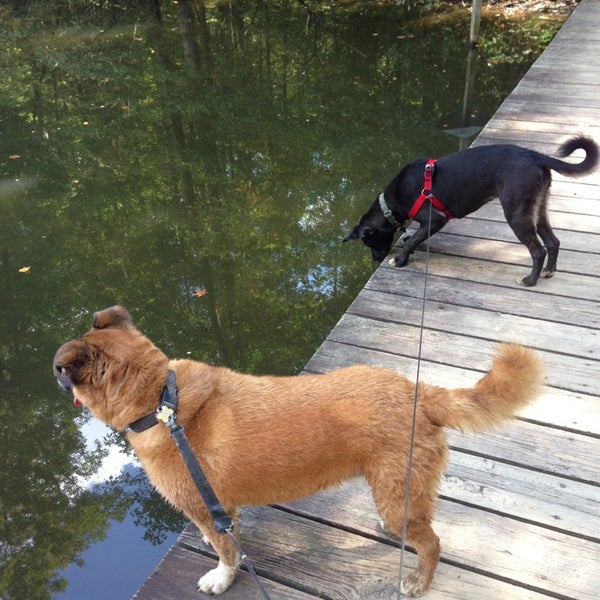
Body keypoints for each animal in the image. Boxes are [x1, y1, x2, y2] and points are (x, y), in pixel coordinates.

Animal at [52, 308, 544, 596]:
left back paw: (418, 582)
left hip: (399, 497)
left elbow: (226, 553)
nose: (53, 373)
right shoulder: (220, 506)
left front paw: (221, 578)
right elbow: (229, 537)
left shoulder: (204, 509)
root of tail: (419, 391)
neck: (160, 400)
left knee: (432, 543)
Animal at [344, 136, 596, 286]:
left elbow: (410, 240)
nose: (376, 260)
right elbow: (414, 238)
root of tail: (534, 155)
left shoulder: (436, 219)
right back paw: (548, 272)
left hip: (516, 214)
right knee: (553, 242)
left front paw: (401, 259)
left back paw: (530, 280)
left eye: (368, 242)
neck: (392, 201)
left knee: (538, 250)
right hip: (537, 209)